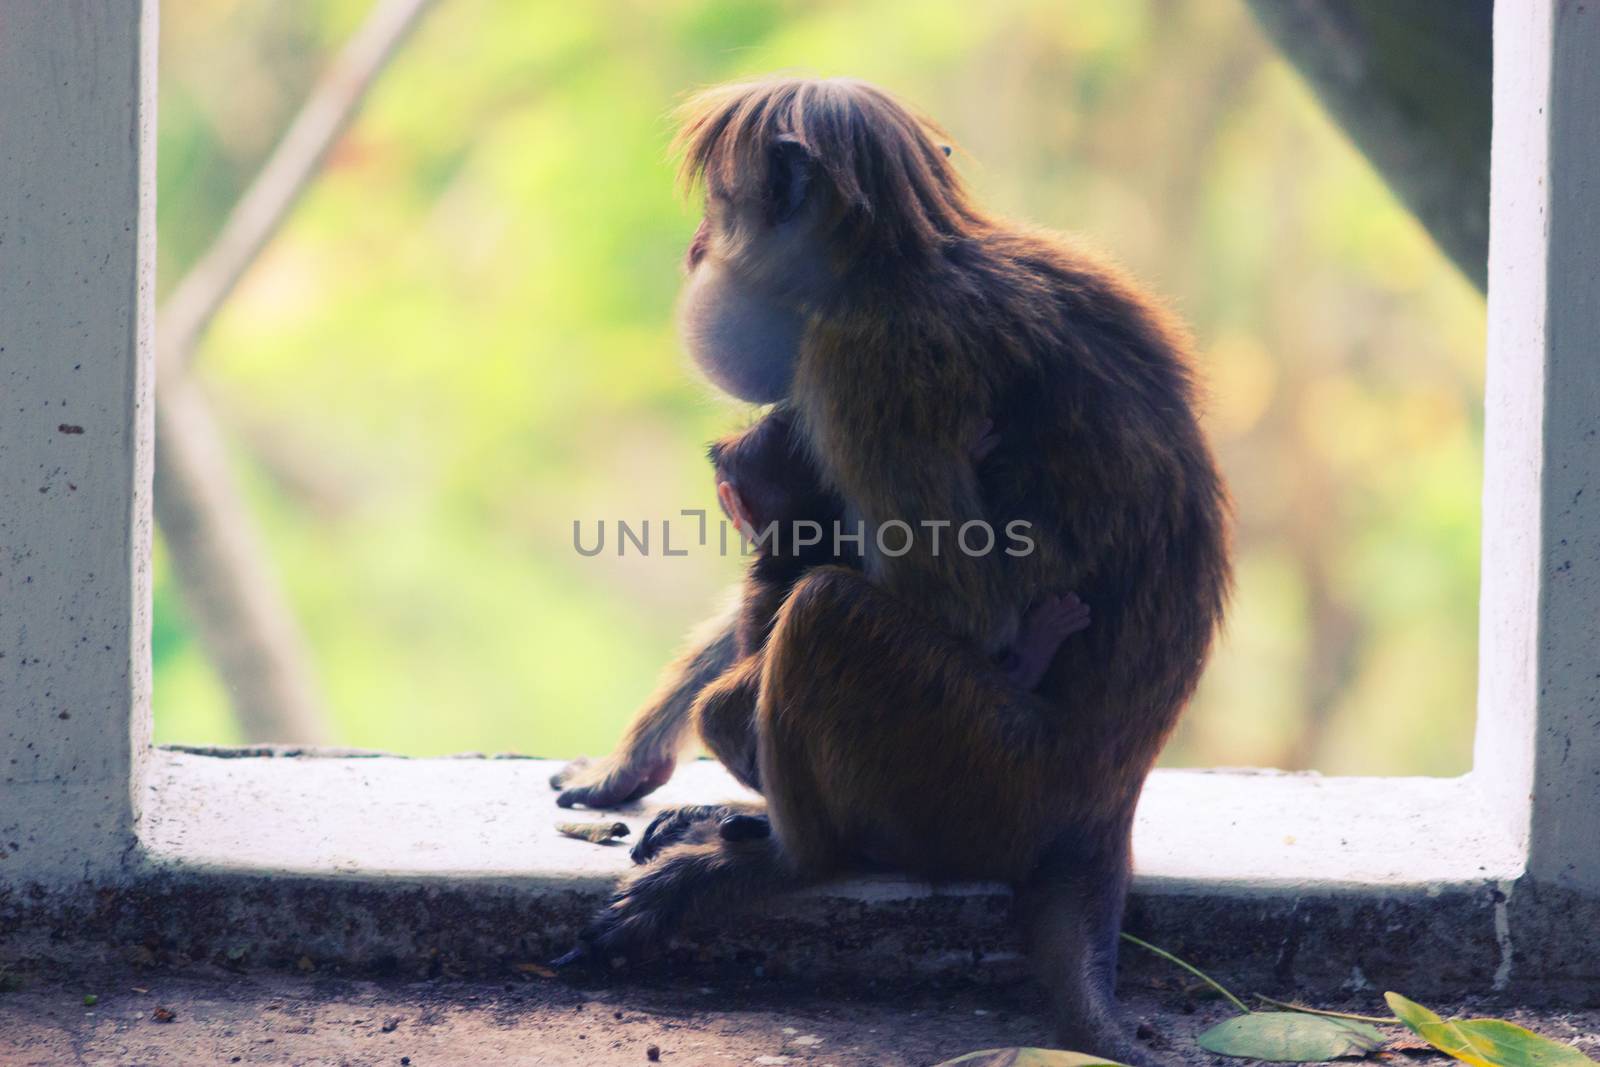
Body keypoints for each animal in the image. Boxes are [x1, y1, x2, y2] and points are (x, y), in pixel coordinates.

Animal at [556, 79, 1228, 1062]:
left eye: (718, 207)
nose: (694, 248)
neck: (906, 257)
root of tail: (1104, 803)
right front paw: (629, 763)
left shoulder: (865, 363)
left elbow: (958, 604)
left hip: (986, 770)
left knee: (829, 614)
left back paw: (791, 854)